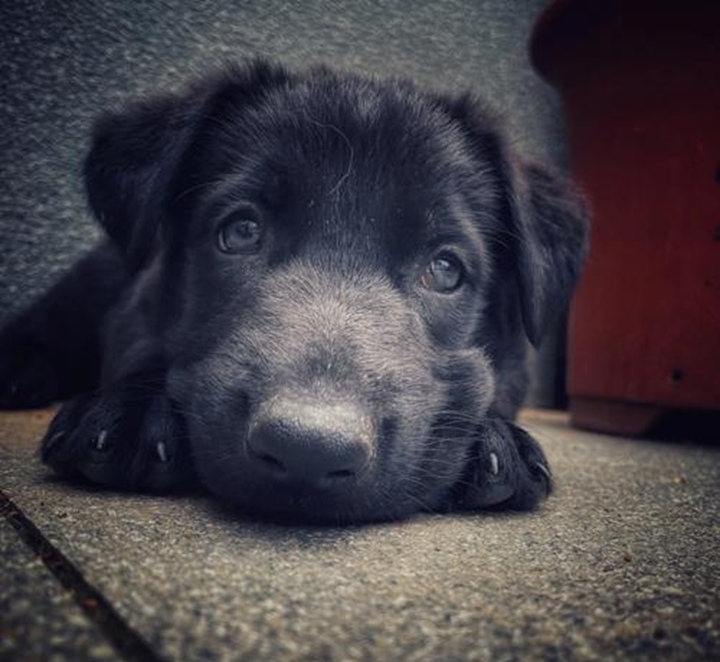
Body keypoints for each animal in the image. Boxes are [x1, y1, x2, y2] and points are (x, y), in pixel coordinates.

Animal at [0, 60, 588, 523]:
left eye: (445, 269)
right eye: (241, 232)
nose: (309, 451)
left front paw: (494, 437)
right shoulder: (136, 310)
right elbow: (144, 349)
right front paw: (135, 409)